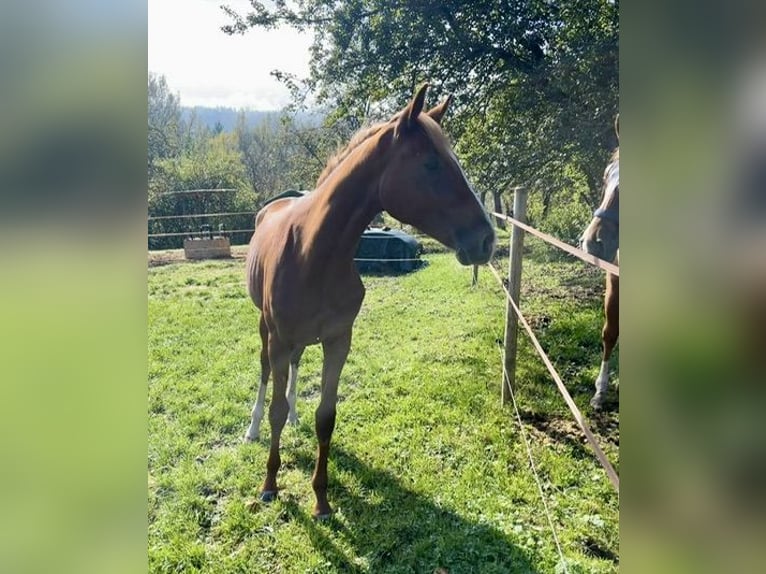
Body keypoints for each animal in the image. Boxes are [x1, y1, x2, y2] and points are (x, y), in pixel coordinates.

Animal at [244, 86, 498, 520]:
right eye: (431, 163)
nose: (486, 239)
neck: (314, 254)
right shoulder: (279, 338)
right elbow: (274, 403)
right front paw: (270, 485)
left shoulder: (338, 340)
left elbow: (326, 417)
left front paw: (321, 499)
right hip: (267, 329)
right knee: (264, 374)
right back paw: (254, 427)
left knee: (295, 368)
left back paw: (294, 416)